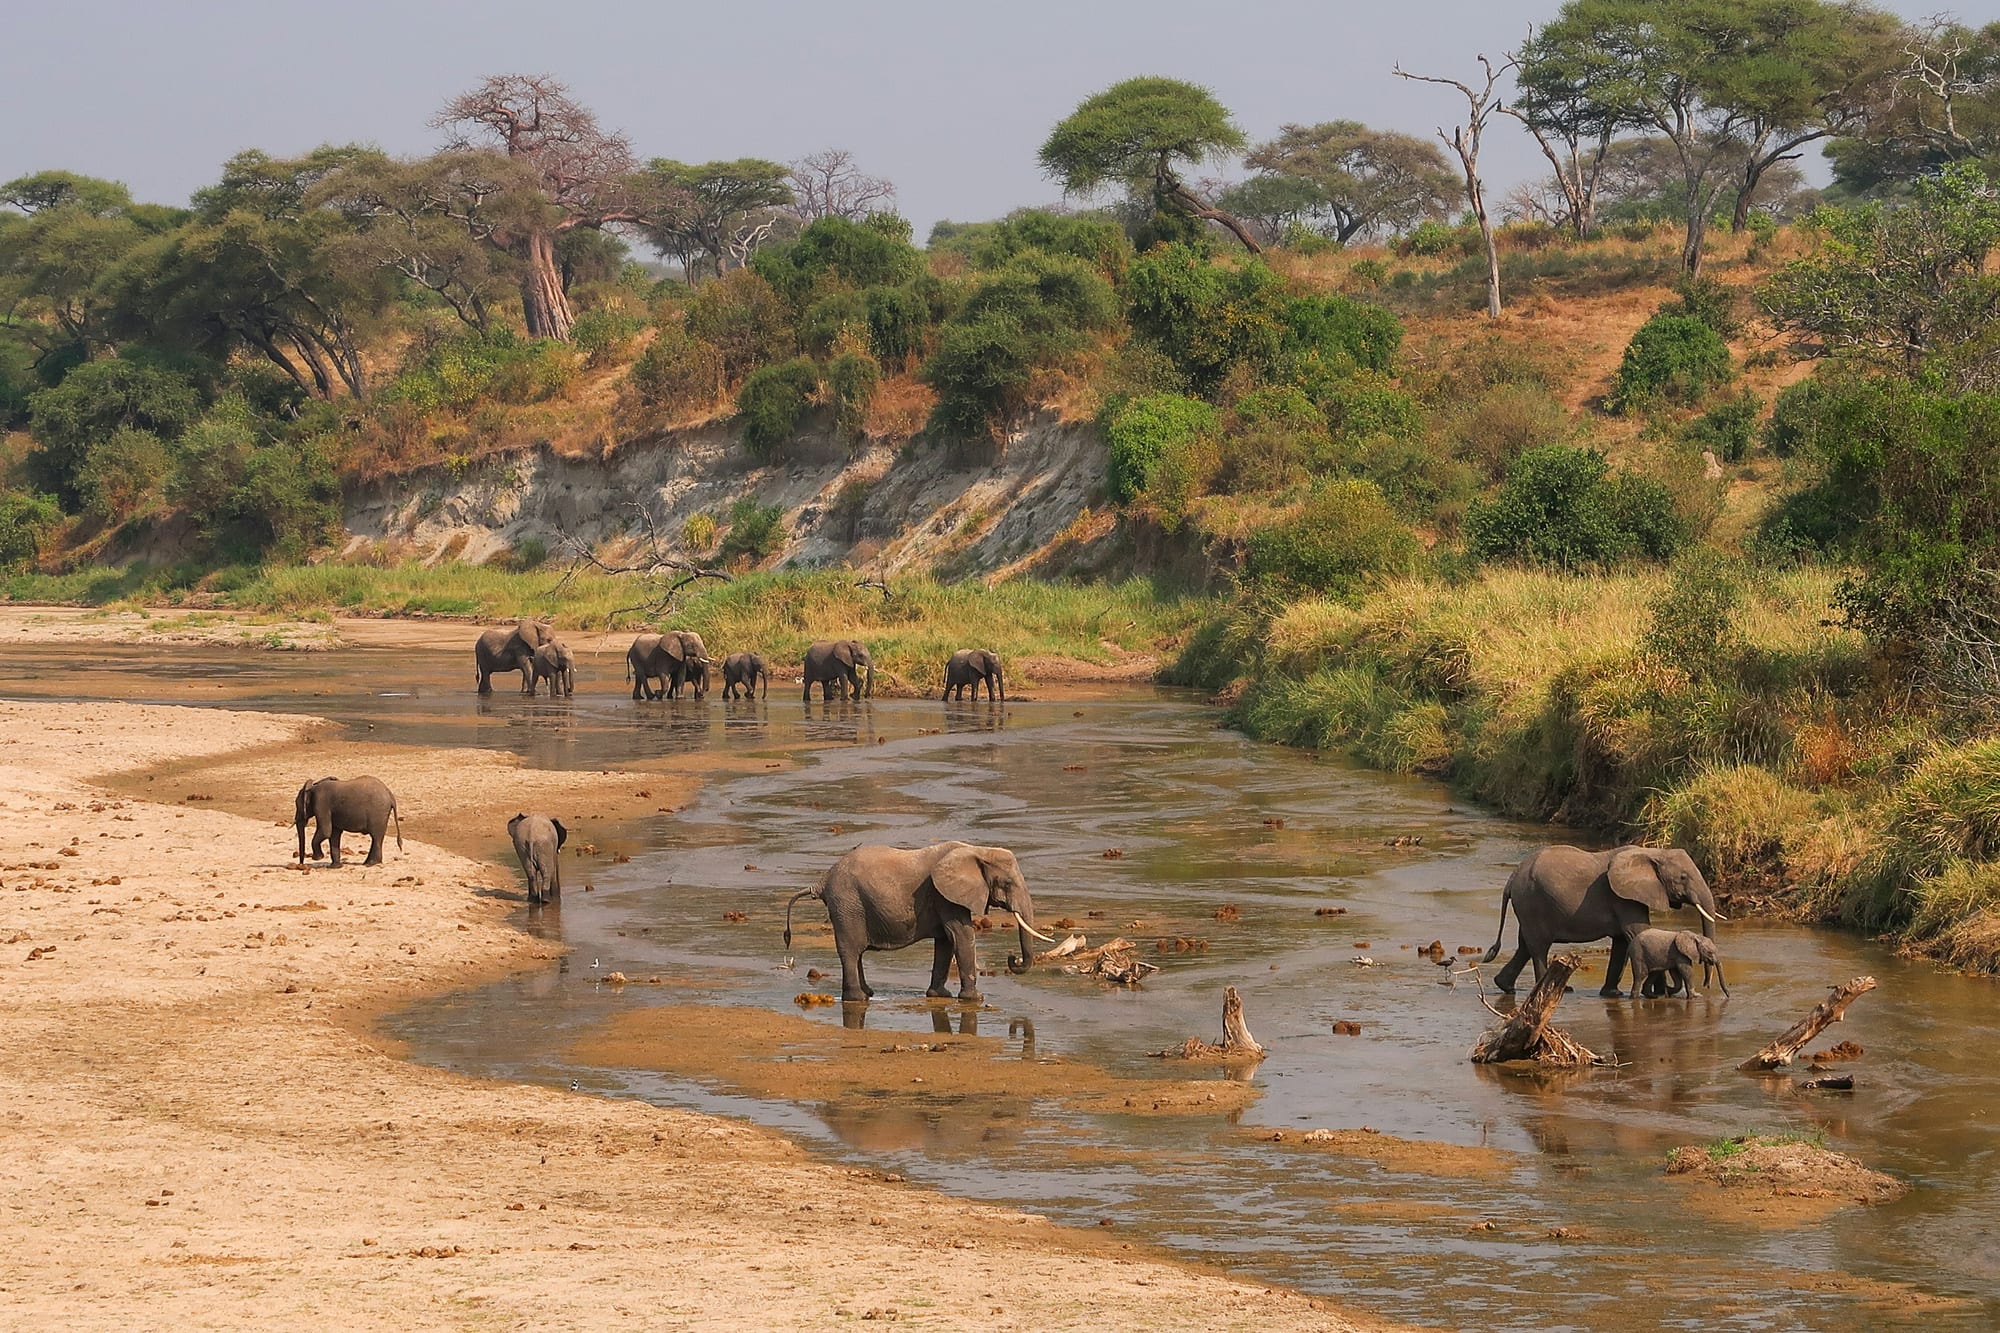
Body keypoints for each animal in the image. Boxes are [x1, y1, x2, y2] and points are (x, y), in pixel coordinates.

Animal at [783, 841, 1055, 1003]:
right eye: (1007, 883)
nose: (1012, 957)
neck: (976, 850)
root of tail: (822, 880)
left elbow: (946, 940)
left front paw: (940, 995)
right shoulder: (945, 896)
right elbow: (961, 935)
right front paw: (975, 999)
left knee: (856, 952)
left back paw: (868, 993)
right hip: (847, 904)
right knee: (850, 950)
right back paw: (857, 999)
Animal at [1482, 844, 1725, 997]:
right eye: (1683, 877)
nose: (1707, 985)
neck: (1653, 852)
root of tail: (1512, 877)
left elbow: (1622, 941)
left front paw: (1613, 994)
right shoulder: (1623, 898)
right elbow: (1637, 932)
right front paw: (1660, 993)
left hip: (1528, 905)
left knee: (1525, 945)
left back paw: (1505, 987)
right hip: (1532, 901)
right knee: (1539, 947)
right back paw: (1554, 990)